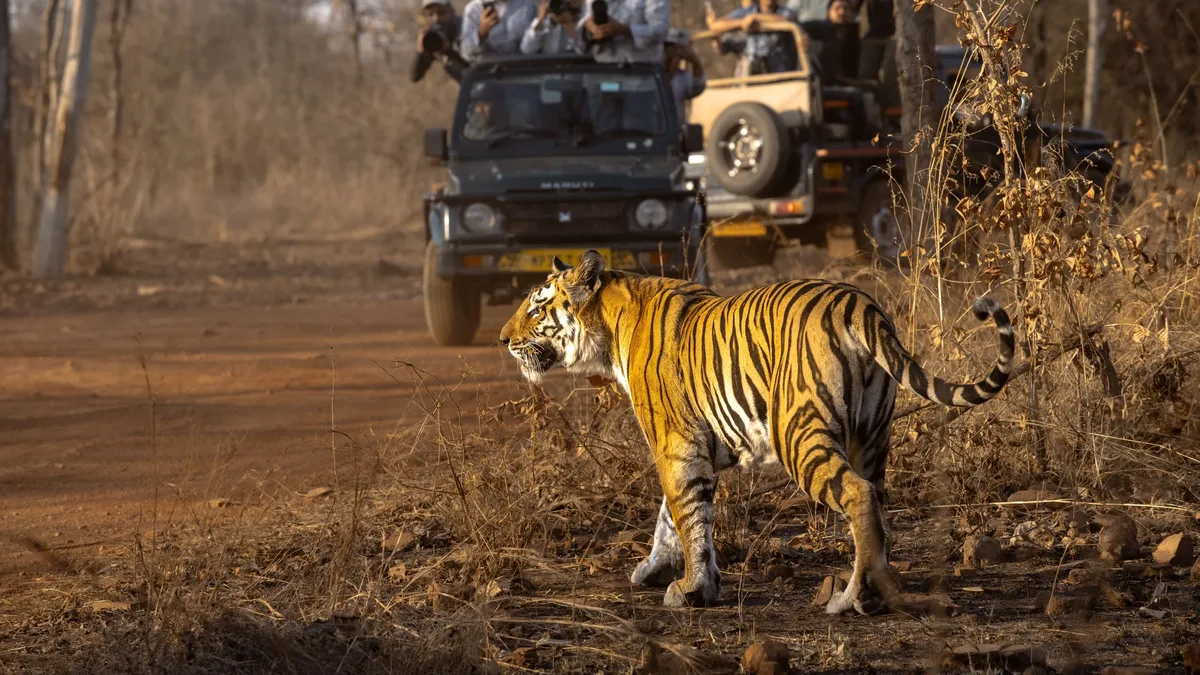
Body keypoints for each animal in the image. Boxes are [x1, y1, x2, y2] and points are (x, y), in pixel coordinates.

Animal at [499, 250, 1014, 614]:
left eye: (537, 308)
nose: (503, 339)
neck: (608, 328)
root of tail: (860, 304)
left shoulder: (676, 445)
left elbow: (687, 515)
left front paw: (693, 588)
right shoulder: (698, 445)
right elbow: (672, 515)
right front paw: (655, 569)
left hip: (798, 434)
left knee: (859, 496)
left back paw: (853, 599)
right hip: (872, 436)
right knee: (878, 504)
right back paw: (875, 590)